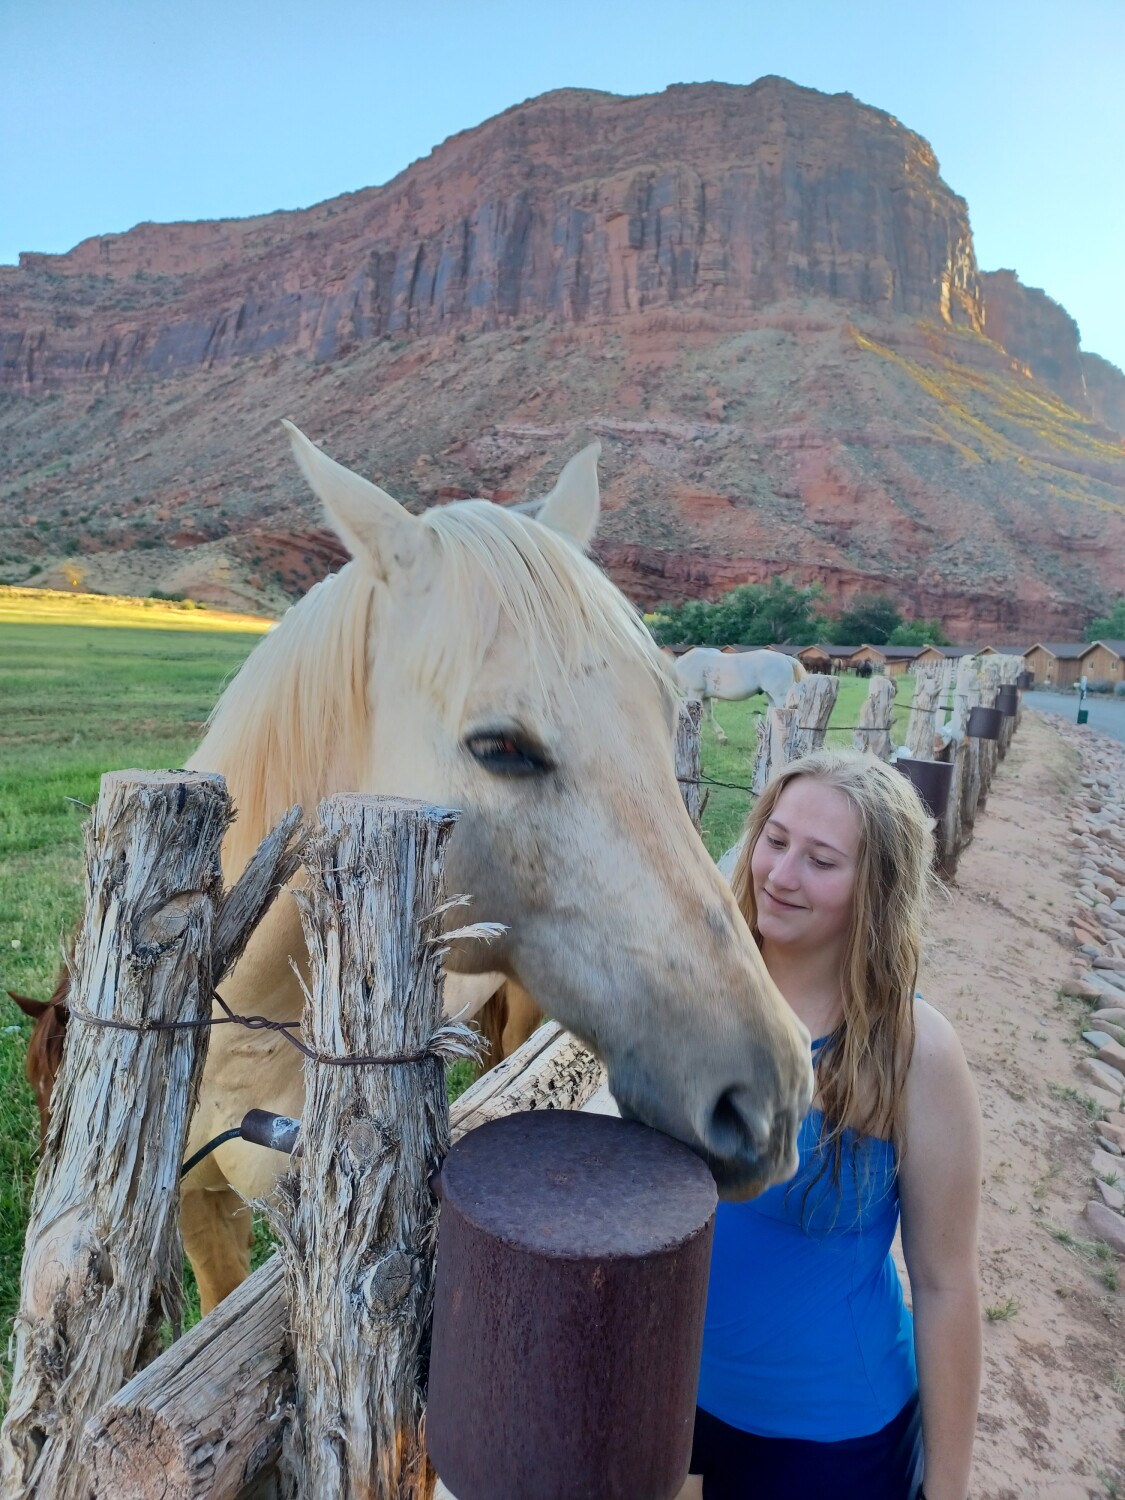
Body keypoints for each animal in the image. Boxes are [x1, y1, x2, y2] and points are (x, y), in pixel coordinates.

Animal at [673, 647, 806, 742]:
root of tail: (786, 658)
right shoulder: (705, 697)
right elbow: (709, 717)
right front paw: (721, 736)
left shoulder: (694, 693)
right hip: (771, 696)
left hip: (780, 696)